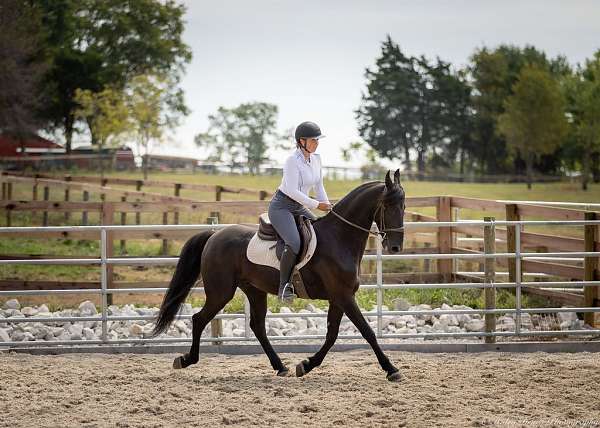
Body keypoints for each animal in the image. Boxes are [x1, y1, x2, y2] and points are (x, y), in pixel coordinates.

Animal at [152, 170, 406, 382]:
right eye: (387, 205)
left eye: (403, 206)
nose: (395, 247)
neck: (338, 238)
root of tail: (215, 235)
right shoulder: (343, 296)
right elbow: (367, 332)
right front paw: (391, 369)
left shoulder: (338, 298)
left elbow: (332, 335)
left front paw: (306, 365)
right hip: (220, 292)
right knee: (199, 319)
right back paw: (186, 359)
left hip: (254, 290)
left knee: (257, 326)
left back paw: (280, 366)